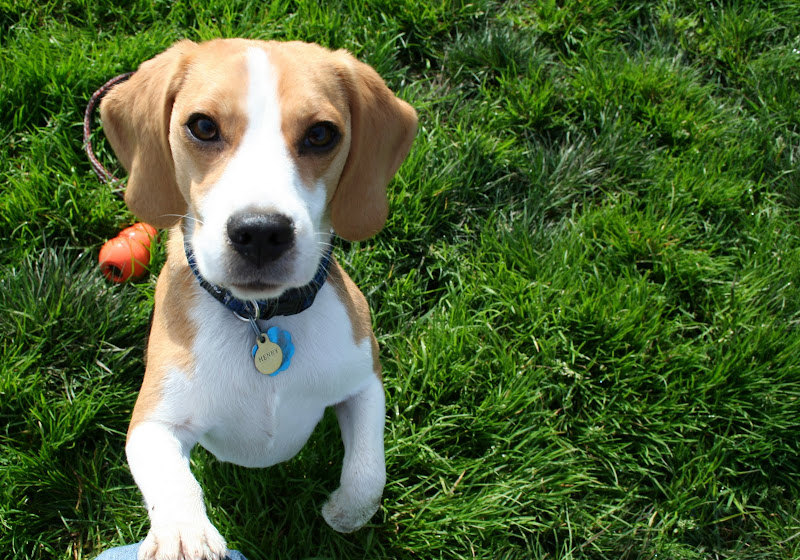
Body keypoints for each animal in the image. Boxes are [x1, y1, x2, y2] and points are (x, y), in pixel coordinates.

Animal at [100, 40, 418, 560]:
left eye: (321, 134)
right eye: (203, 126)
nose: (262, 232)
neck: (259, 319)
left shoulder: (363, 380)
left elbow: (368, 472)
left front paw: (345, 514)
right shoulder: (154, 420)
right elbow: (171, 480)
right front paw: (185, 535)